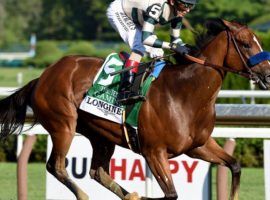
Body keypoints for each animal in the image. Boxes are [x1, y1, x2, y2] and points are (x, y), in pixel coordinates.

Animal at [0, 19, 270, 200]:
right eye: (246, 44)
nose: (267, 74)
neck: (185, 93)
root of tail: (42, 77)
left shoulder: (198, 146)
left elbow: (235, 165)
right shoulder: (154, 151)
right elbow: (171, 194)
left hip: (99, 135)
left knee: (97, 171)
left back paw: (127, 194)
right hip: (63, 125)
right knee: (56, 166)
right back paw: (86, 195)